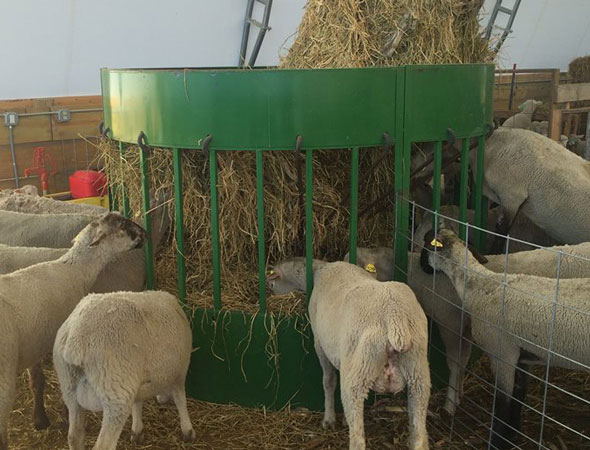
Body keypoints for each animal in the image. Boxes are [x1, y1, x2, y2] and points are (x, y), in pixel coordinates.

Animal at [53, 290, 197, 448]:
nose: (162, 400)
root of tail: (75, 341)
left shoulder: (137, 380)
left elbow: (137, 403)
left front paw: (137, 430)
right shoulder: (179, 372)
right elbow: (180, 399)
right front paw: (188, 431)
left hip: (69, 388)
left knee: (74, 436)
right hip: (114, 394)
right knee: (104, 445)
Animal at [268, 256, 430, 450]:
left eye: (271, 284)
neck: (319, 270)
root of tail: (394, 318)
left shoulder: (319, 344)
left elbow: (328, 381)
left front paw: (329, 420)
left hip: (359, 374)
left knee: (357, 436)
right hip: (418, 374)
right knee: (419, 436)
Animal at [344, 241, 590, 416]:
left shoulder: (451, 323)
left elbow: (455, 362)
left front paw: (450, 403)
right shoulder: (467, 328)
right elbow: (464, 360)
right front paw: (460, 392)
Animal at [424, 230, 590, 448]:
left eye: (427, 245)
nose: (424, 267)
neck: (481, 286)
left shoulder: (502, 353)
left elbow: (503, 405)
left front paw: (499, 441)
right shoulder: (521, 356)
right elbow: (519, 395)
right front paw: (513, 434)